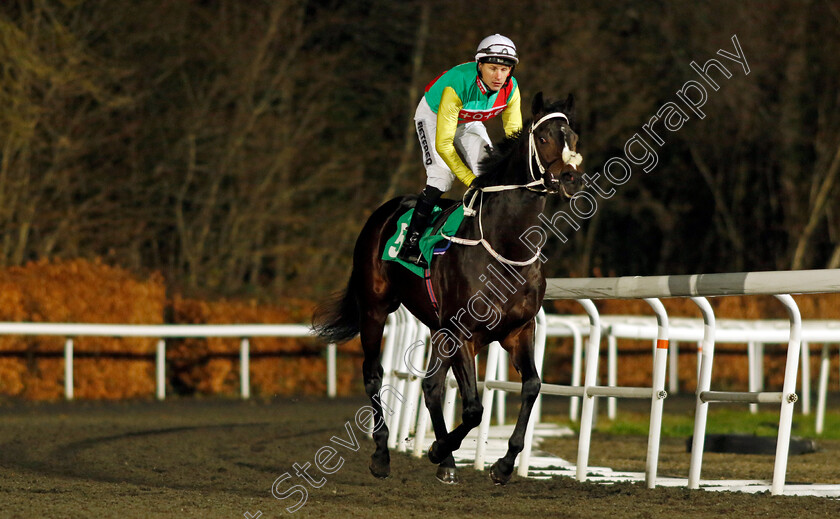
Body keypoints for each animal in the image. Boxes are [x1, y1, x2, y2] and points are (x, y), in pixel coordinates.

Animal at [314, 92, 584, 488]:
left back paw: (446, 462)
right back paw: (383, 455)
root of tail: (383, 212)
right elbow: (473, 409)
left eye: (574, 138)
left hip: (437, 328)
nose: (570, 177)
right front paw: (437, 449)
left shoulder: (519, 330)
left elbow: (532, 386)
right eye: (545, 137)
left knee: (430, 386)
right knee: (373, 374)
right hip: (376, 308)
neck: (507, 247)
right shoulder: (464, 334)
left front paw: (502, 465)